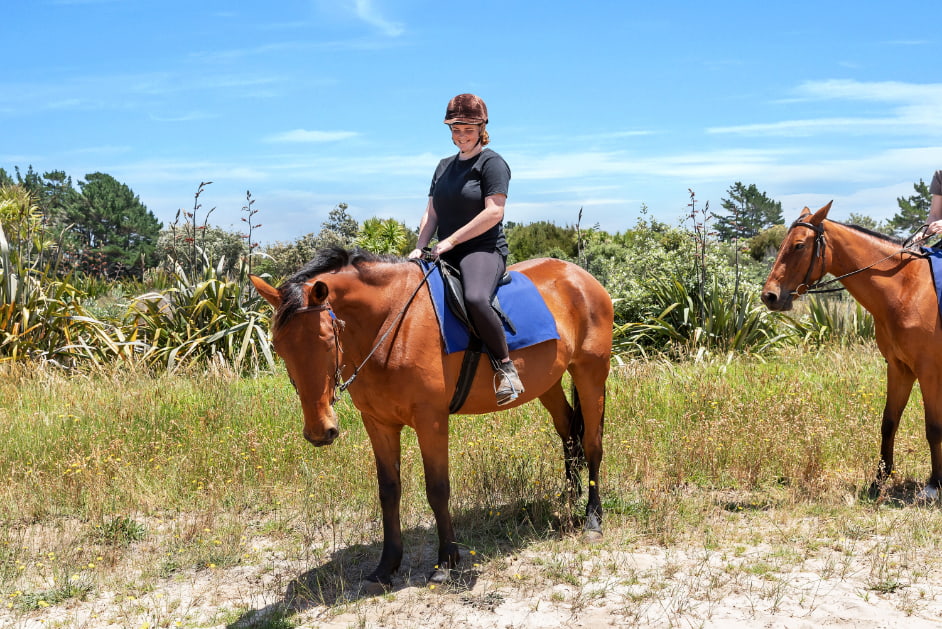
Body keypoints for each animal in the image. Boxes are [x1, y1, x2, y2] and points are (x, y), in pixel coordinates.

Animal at [250, 246, 613, 588]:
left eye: (326, 340)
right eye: (278, 346)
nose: (319, 431)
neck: (390, 323)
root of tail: (581, 276)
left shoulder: (431, 420)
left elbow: (437, 489)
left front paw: (446, 564)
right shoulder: (378, 423)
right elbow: (388, 491)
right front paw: (386, 567)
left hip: (590, 373)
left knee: (592, 444)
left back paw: (593, 521)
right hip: (548, 382)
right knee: (568, 432)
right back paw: (570, 500)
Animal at [761, 202, 942, 498]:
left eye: (799, 245)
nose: (769, 296)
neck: (907, 290)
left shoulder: (928, 372)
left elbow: (933, 427)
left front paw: (934, 485)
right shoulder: (899, 368)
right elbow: (888, 423)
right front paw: (878, 482)